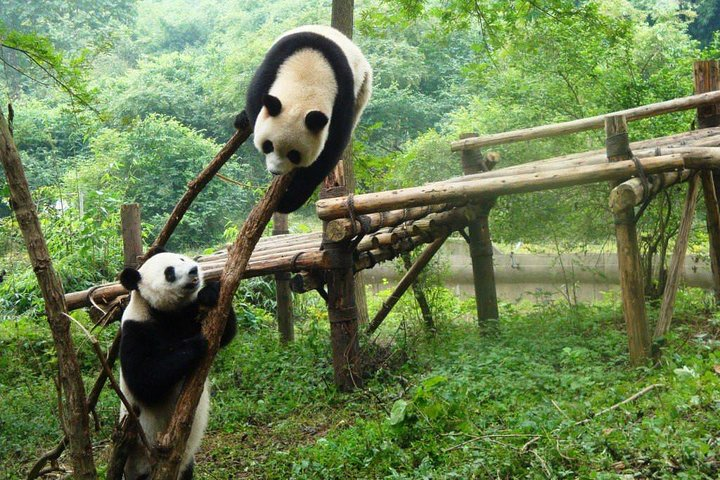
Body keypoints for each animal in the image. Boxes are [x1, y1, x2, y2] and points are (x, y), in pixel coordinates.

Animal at [118, 251, 237, 480]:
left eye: (181, 259)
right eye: (169, 273)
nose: (193, 270)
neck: (161, 312)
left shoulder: (186, 315)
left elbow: (224, 334)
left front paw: (210, 292)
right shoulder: (135, 330)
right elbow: (143, 380)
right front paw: (195, 344)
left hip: (186, 462)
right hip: (140, 456)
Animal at [240, 24, 373, 213]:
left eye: (294, 154)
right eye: (268, 145)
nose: (275, 171)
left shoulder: (343, 95)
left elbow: (329, 151)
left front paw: (288, 200)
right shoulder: (275, 63)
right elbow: (255, 100)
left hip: (362, 88)